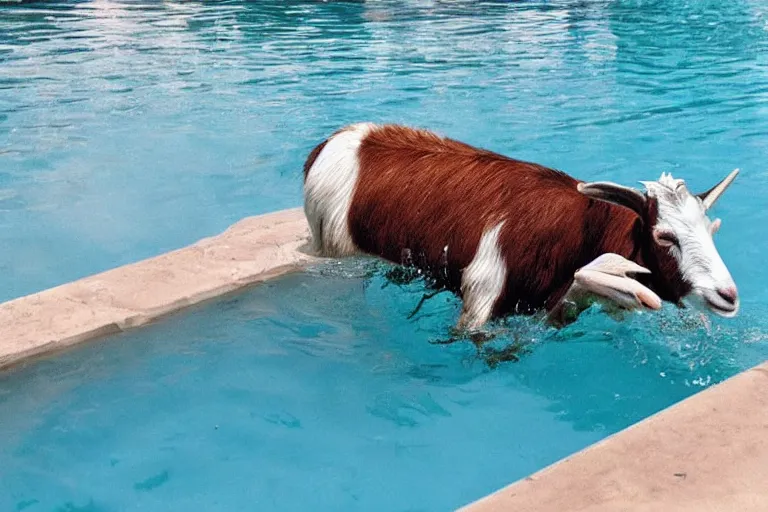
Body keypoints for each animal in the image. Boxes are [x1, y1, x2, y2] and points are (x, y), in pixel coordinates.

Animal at [302, 122, 736, 330]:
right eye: (665, 237)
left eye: (713, 230)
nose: (728, 296)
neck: (577, 230)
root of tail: (331, 142)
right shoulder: (478, 304)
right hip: (333, 244)